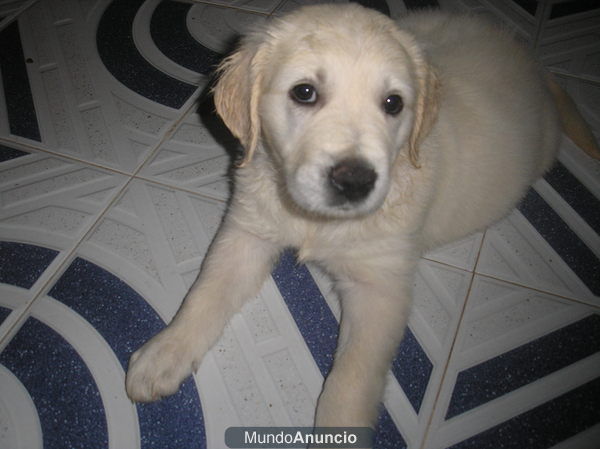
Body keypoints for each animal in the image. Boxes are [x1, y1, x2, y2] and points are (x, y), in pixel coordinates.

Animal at [124, 2, 596, 430]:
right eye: (304, 92)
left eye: (393, 103)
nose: (355, 182)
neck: (315, 221)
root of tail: (532, 64)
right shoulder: (247, 231)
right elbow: (204, 293)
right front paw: (163, 353)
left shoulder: (380, 288)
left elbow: (352, 376)